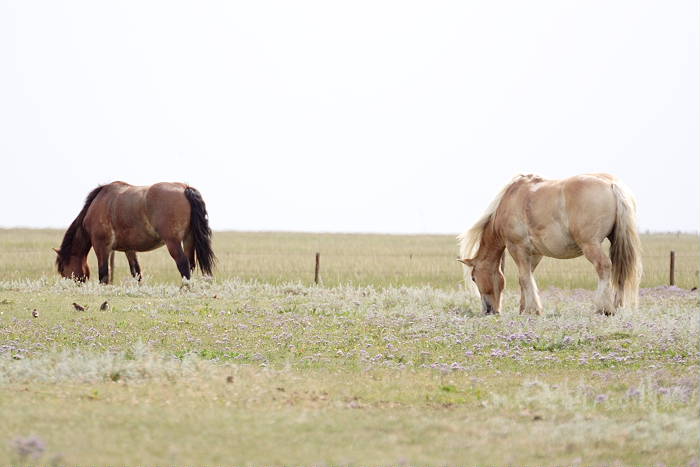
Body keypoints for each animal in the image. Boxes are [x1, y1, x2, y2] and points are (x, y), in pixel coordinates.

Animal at [55, 183, 216, 286]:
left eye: (62, 268)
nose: (69, 285)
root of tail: (184, 188)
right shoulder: (129, 249)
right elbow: (136, 272)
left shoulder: (101, 246)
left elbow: (104, 274)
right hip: (188, 239)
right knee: (190, 264)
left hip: (173, 242)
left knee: (183, 264)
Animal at [456, 176, 644, 318]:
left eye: (474, 278)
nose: (488, 311)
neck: (510, 199)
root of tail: (611, 184)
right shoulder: (534, 253)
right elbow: (526, 278)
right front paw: (524, 309)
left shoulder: (517, 247)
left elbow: (524, 278)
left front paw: (533, 310)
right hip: (615, 243)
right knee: (619, 272)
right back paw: (617, 306)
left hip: (591, 245)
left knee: (604, 267)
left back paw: (603, 308)